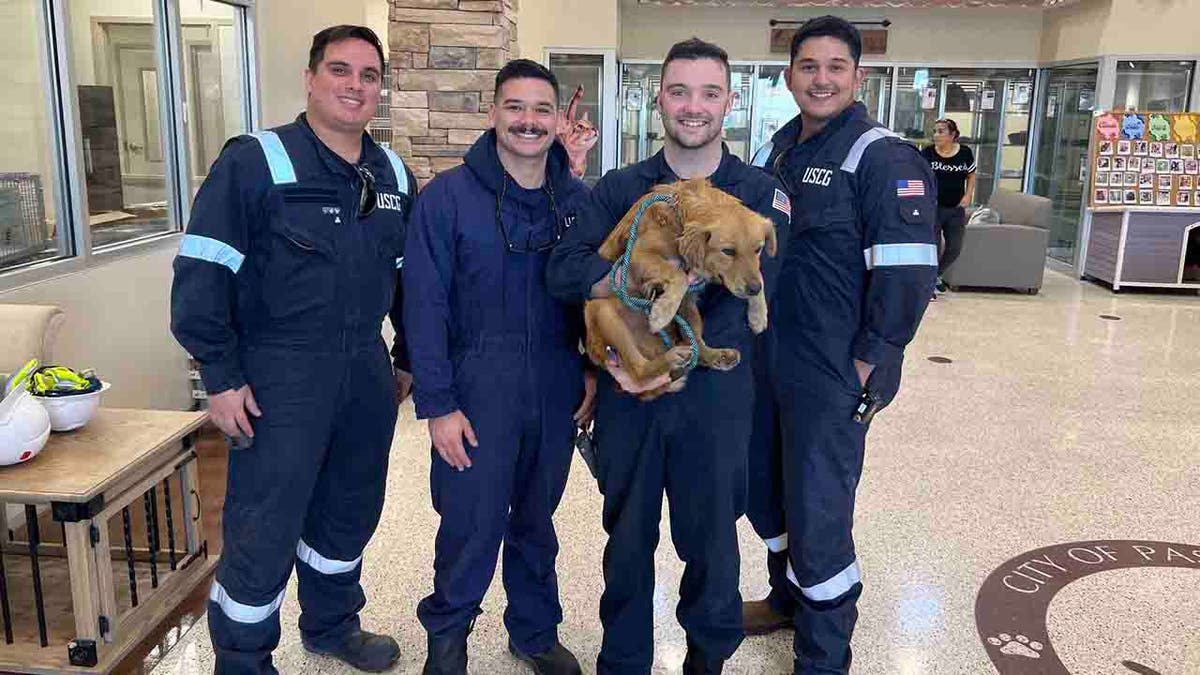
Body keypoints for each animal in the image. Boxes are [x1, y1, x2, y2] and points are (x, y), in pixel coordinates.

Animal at [583, 178, 777, 398]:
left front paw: (758, 314)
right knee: (639, 370)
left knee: (697, 347)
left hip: (689, 309)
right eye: (728, 251)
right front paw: (661, 313)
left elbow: (759, 274)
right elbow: (679, 276)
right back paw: (670, 359)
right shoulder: (637, 256)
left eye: (758, 249)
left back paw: (716, 355)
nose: (753, 289)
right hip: (601, 310)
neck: (679, 218)